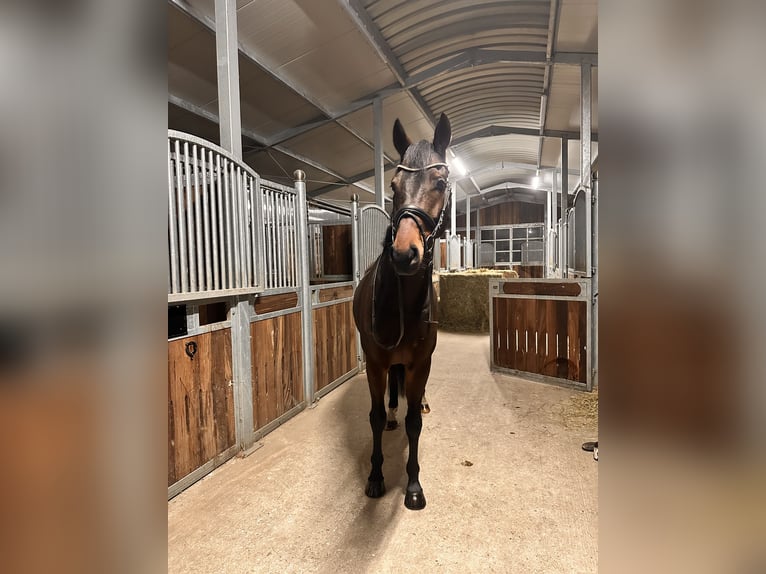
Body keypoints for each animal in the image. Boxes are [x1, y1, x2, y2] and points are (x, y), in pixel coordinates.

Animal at [352, 113, 452, 510]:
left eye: (440, 182)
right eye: (393, 185)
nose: (404, 254)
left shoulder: (420, 362)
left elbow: (414, 426)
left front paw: (413, 486)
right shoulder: (376, 362)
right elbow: (375, 417)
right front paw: (376, 477)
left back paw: (419, 402)